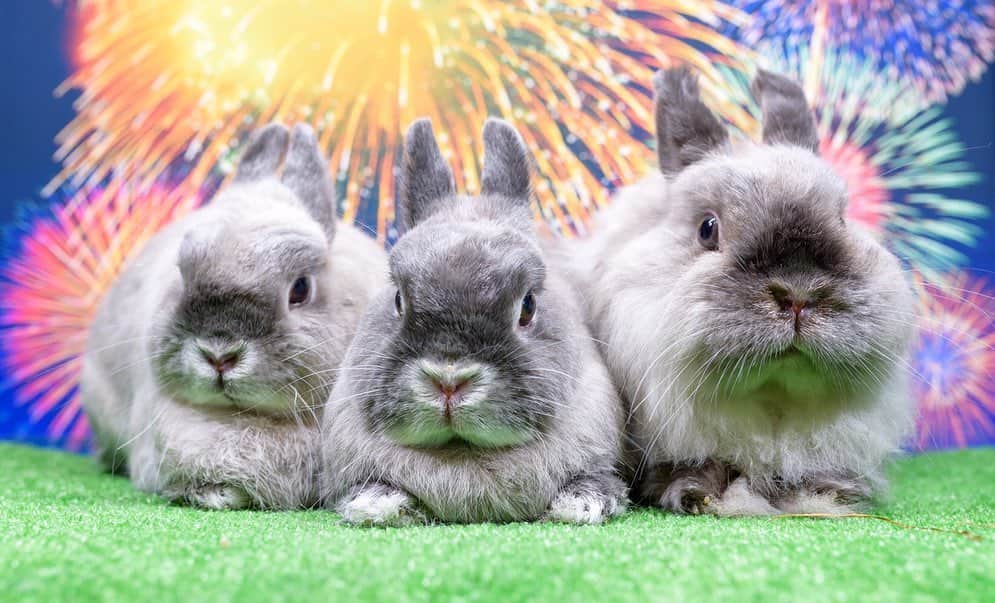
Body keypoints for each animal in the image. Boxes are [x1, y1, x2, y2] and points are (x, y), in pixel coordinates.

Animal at [567, 68, 918, 516]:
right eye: (707, 228)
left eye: (842, 218)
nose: (798, 294)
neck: (772, 403)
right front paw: (698, 492)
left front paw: (829, 492)